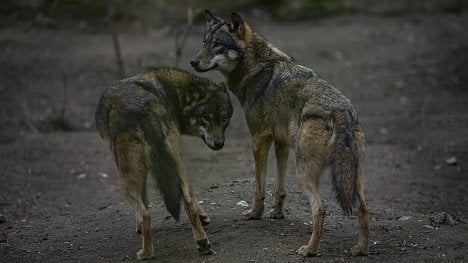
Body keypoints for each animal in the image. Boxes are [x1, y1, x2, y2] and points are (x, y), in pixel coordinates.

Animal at [95, 66, 234, 260]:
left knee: (146, 214)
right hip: (177, 163)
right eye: (206, 116)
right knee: (187, 200)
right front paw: (203, 217)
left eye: (224, 118)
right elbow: (191, 194)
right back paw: (203, 244)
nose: (219, 144)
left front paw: (138, 227)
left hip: (125, 181)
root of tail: (143, 110)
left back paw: (145, 253)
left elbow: (143, 203)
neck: (173, 93)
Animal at [190, 11, 370, 256]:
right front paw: (277, 213)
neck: (257, 68)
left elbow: (259, 186)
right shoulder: (281, 144)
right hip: (352, 178)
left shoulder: (259, 139)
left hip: (304, 172)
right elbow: (279, 187)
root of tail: (341, 111)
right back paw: (360, 249)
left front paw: (254, 214)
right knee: (364, 208)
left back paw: (310, 250)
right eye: (204, 42)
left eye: (218, 44)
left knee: (320, 208)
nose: (193, 62)